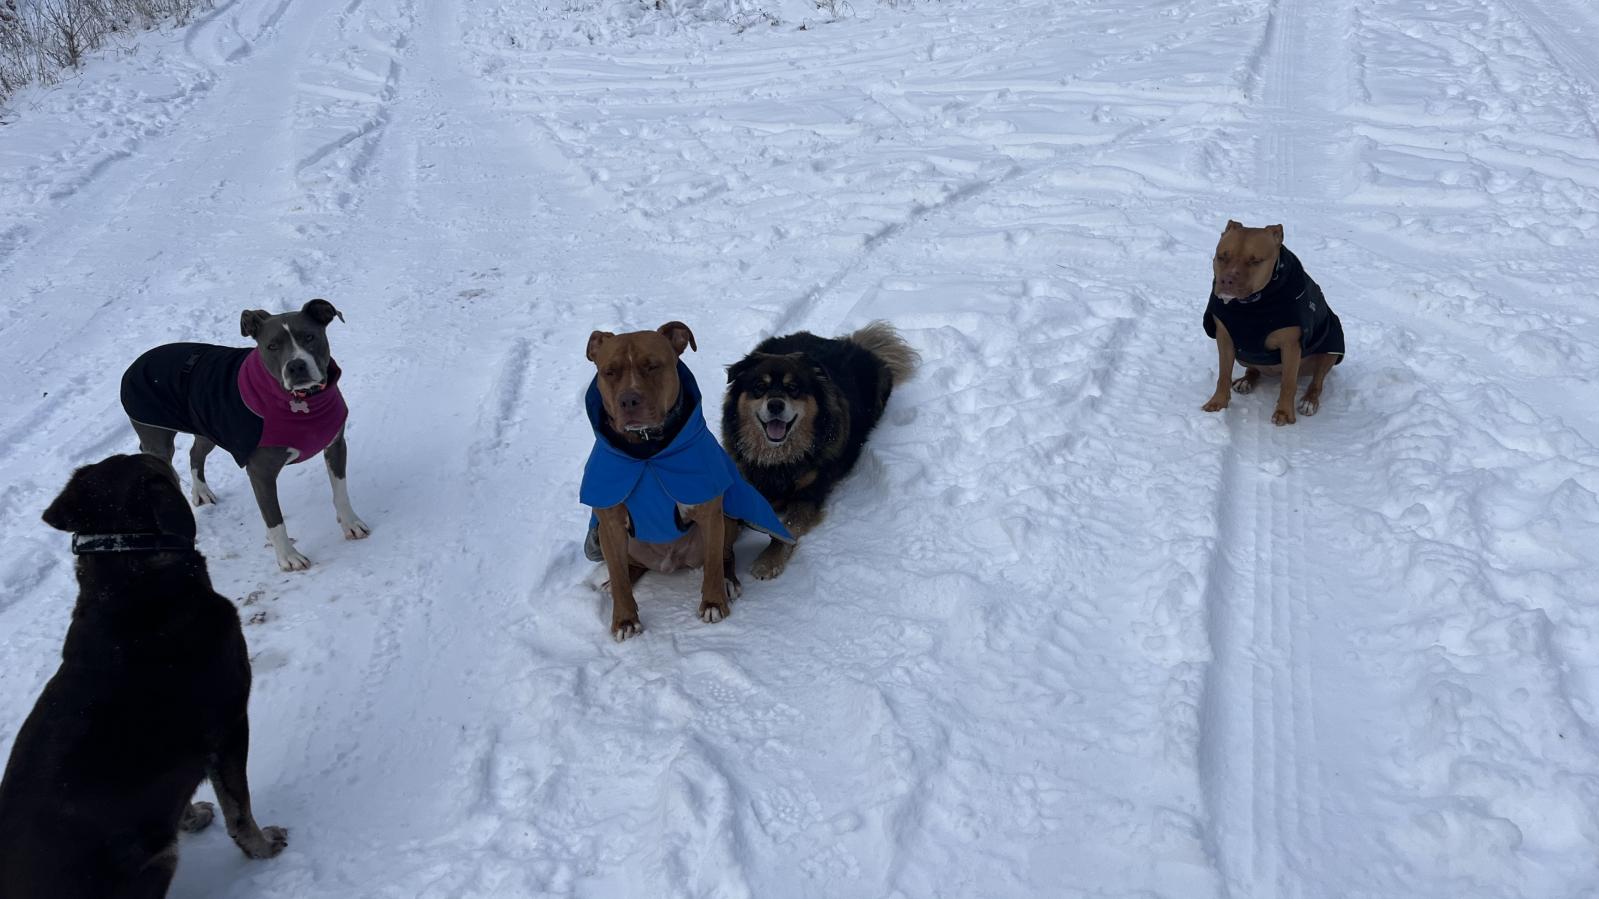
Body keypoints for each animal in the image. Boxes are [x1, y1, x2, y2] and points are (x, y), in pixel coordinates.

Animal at [0, 454, 284, 895]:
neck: (128, 580)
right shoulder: (230, 727)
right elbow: (240, 808)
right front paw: (263, 848)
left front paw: (191, 818)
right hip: (157, 861)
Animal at [119, 299, 369, 566]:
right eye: (271, 346)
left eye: (309, 337)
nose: (296, 365)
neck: (301, 401)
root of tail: (135, 364)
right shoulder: (261, 472)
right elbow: (274, 519)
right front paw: (288, 557)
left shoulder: (336, 445)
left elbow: (340, 491)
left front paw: (351, 523)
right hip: (157, 440)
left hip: (207, 428)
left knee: (195, 453)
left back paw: (202, 492)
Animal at [722, 318, 921, 575]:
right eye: (759, 387)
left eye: (793, 388)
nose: (775, 405)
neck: (778, 459)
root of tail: (852, 342)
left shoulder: (808, 496)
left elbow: (787, 529)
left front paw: (768, 561)